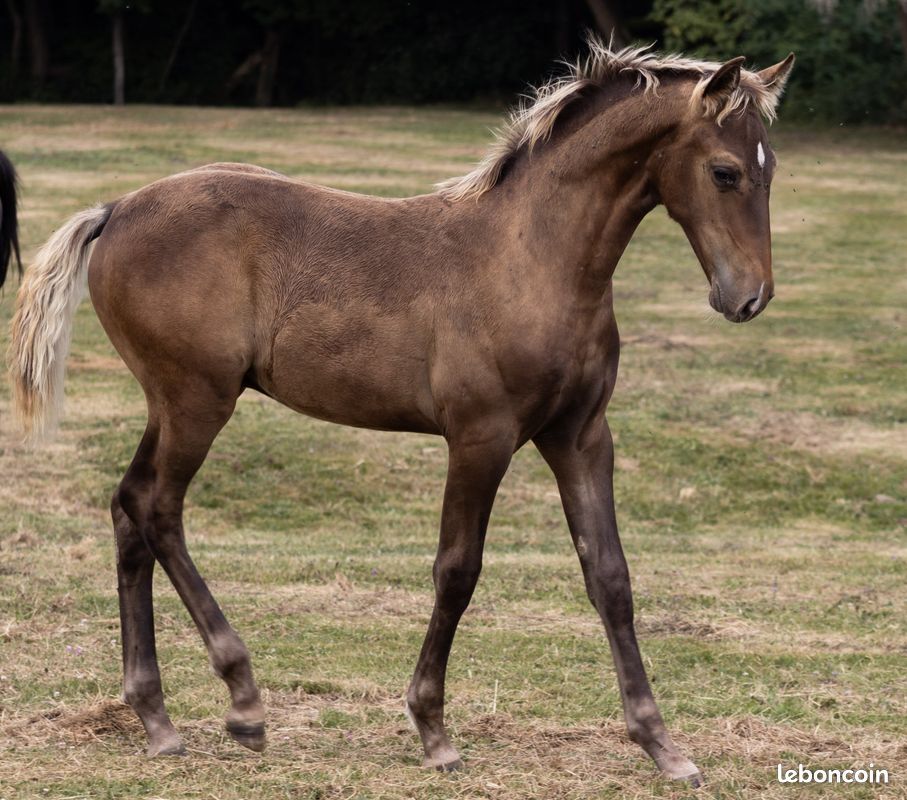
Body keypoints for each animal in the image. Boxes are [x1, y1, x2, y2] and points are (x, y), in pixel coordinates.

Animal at [8, 40, 794, 785]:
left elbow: (610, 577)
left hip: (168, 403)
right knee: (158, 508)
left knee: (127, 508)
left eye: (771, 168)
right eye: (725, 171)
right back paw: (244, 699)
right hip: (198, 399)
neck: (533, 259)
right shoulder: (479, 437)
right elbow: (458, 570)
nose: (749, 298)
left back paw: (156, 718)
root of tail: (115, 210)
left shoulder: (579, 438)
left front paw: (662, 745)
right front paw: (432, 730)